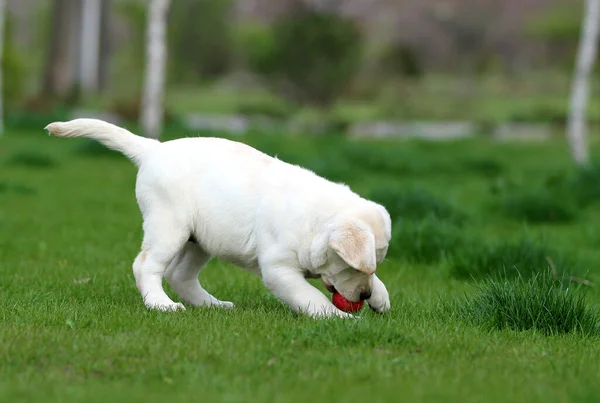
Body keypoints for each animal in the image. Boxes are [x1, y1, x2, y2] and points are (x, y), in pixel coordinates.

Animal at [47, 120, 394, 318]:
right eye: (349, 268)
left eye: (371, 267)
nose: (363, 297)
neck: (315, 224)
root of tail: (153, 149)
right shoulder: (279, 269)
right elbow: (310, 297)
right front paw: (342, 318)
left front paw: (380, 296)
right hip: (169, 226)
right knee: (146, 266)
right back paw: (161, 304)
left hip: (201, 239)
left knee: (180, 275)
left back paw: (211, 305)